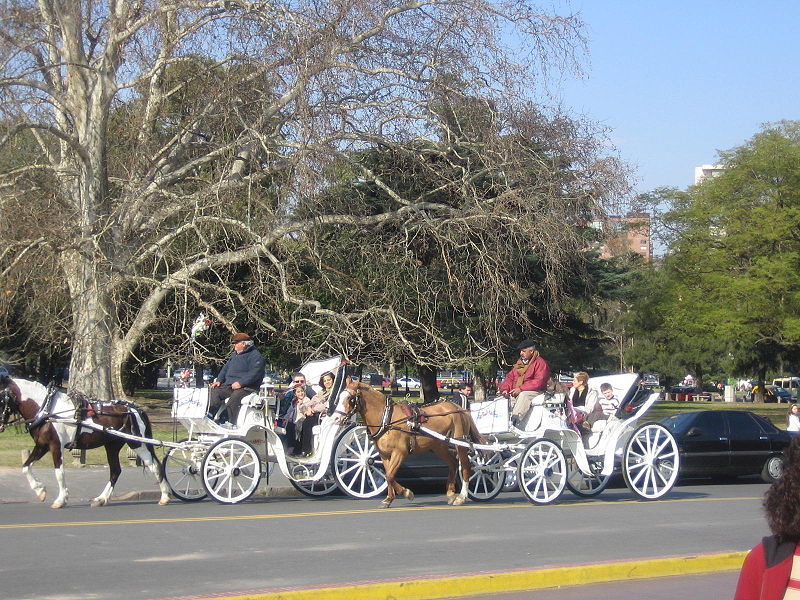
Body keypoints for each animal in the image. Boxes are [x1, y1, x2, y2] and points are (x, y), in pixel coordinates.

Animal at [0, 376, 170, 506]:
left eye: (1, 400)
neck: (47, 410)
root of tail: (135, 409)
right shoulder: (42, 446)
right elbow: (26, 467)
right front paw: (40, 490)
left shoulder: (56, 446)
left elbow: (59, 472)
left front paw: (61, 499)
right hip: (112, 446)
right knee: (116, 470)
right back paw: (101, 498)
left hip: (137, 443)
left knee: (155, 466)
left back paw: (165, 496)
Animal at [338, 380, 482, 506]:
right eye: (339, 397)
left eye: (350, 398)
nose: (336, 417)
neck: (387, 419)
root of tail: (460, 408)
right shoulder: (384, 454)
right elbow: (388, 475)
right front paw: (389, 499)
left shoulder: (400, 452)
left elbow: (389, 475)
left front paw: (407, 493)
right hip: (439, 446)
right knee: (453, 463)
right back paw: (451, 493)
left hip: (460, 443)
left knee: (465, 466)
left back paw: (462, 496)